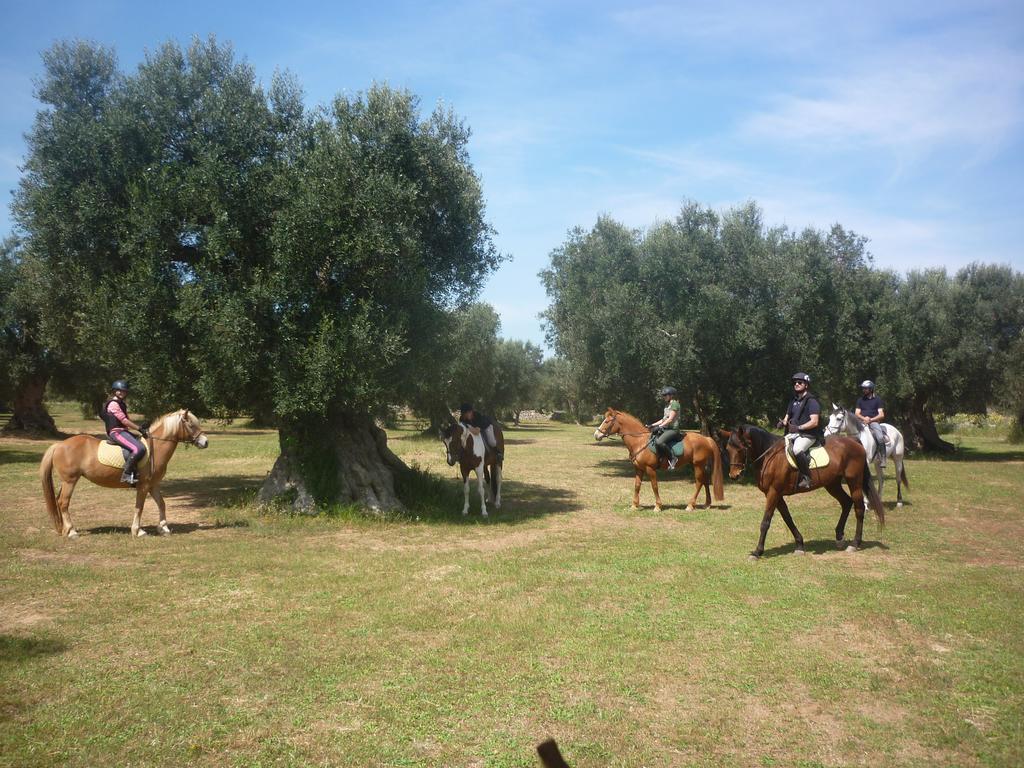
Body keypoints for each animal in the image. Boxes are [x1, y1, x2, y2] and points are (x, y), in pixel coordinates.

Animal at [39, 409, 209, 540]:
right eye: (191, 425)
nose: (205, 442)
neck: (155, 447)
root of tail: (59, 445)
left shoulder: (153, 484)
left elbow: (161, 503)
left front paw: (163, 528)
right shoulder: (143, 486)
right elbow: (139, 507)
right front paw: (138, 531)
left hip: (66, 481)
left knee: (58, 501)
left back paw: (65, 530)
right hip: (70, 481)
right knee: (63, 502)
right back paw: (72, 532)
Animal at [720, 428, 880, 561]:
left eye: (741, 448)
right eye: (728, 449)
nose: (734, 475)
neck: (770, 456)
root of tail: (854, 441)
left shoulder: (773, 492)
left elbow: (765, 522)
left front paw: (757, 552)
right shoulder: (775, 494)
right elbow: (787, 518)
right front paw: (799, 545)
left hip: (854, 482)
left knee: (859, 509)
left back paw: (854, 544)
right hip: (832, 484)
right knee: (846, 502)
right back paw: (839, 538)